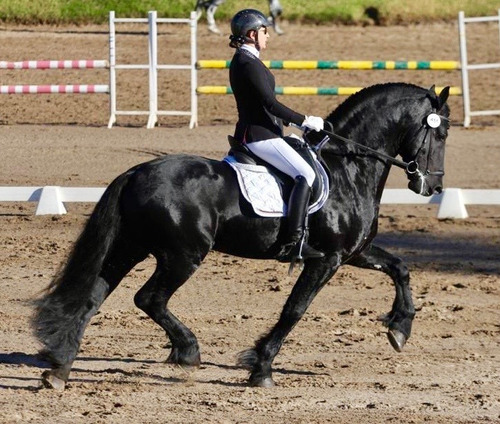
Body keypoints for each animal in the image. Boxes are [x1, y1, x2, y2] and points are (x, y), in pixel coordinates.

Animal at [33, 83, 452, 390]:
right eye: (443, 132)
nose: (431, 187)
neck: (347, 168)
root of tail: (137, 171)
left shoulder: (354, 252)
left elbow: (400, 268)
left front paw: (400, 329)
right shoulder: (328, 259)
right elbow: (294, 309)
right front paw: (261, 369)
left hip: (131, 248)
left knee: (93, 296)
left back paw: (59, 369)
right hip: (183, 255)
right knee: (149, 298)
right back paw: (187, 351)